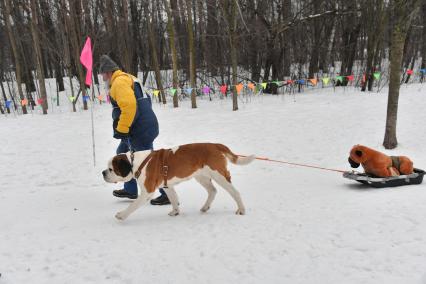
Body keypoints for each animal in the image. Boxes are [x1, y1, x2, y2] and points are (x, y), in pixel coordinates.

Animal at [102, 143, 256, 221]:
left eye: (111, 169)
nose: (103, 173)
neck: (136, 163)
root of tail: (215, 145)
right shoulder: (167, 186)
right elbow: (174, 199)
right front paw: (175, 212)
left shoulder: (147, 191)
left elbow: (133, 205)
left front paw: (122, 215)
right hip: (201, 176)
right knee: (212, 191)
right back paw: (205, 207)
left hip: (219, 175)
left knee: (235, 192)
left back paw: (241, 209)